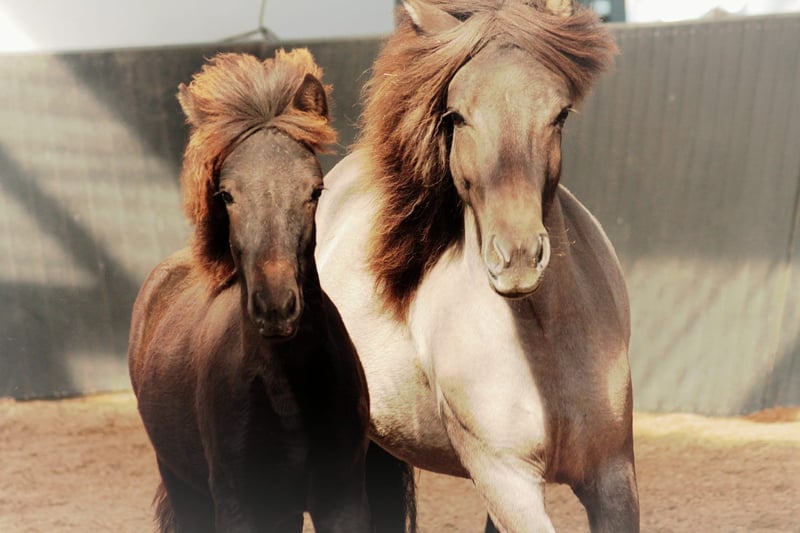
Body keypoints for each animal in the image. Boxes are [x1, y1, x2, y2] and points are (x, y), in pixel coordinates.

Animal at [128, 49, 371, 533]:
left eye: (315, 190)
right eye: (226, 194)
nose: (275, 307)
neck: (286, 388)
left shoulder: (342, 494)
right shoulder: (240, 504)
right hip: (184, 485)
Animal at [315, 1, 639, 531]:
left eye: (560, 114)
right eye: (458, 116)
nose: (517, 259)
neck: (543, 344)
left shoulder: (612, 476)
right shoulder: (507, 479)